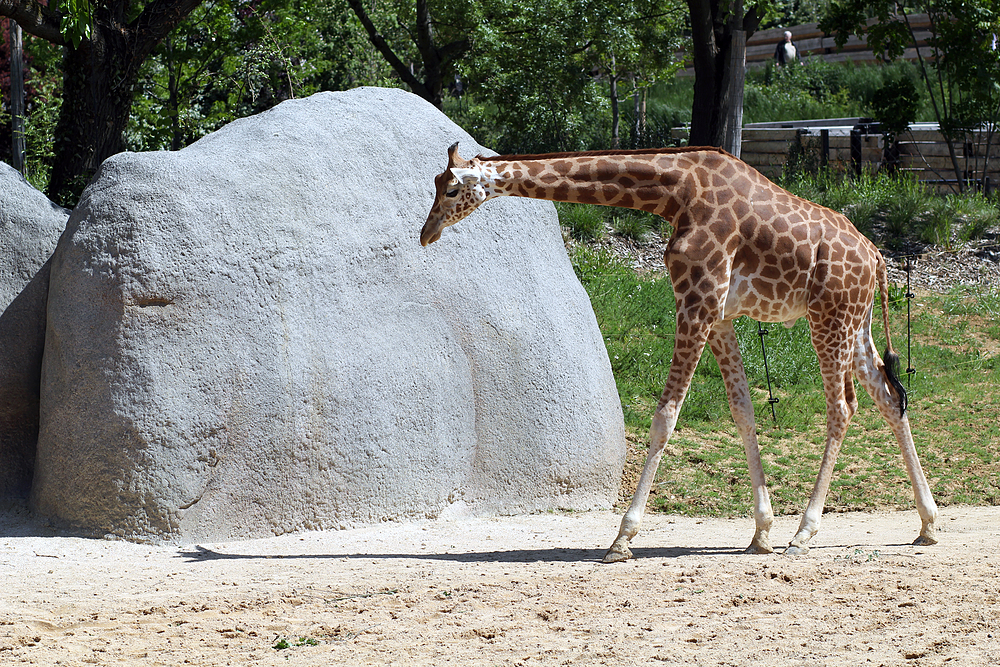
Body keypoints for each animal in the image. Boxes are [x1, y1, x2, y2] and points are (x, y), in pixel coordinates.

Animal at [420, 142, 936, 564]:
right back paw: (927, 525)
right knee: (889, 397)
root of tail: (877, 257)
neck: (675, 193)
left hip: (830, 318)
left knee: (843, 407)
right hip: (855, 323)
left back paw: (805, 533)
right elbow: (743, 410)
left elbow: (665, 415)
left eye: (451, 189)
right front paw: (761, 532)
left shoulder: (696, 301)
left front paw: (622, 539)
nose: (426, 234)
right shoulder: (720, 314)